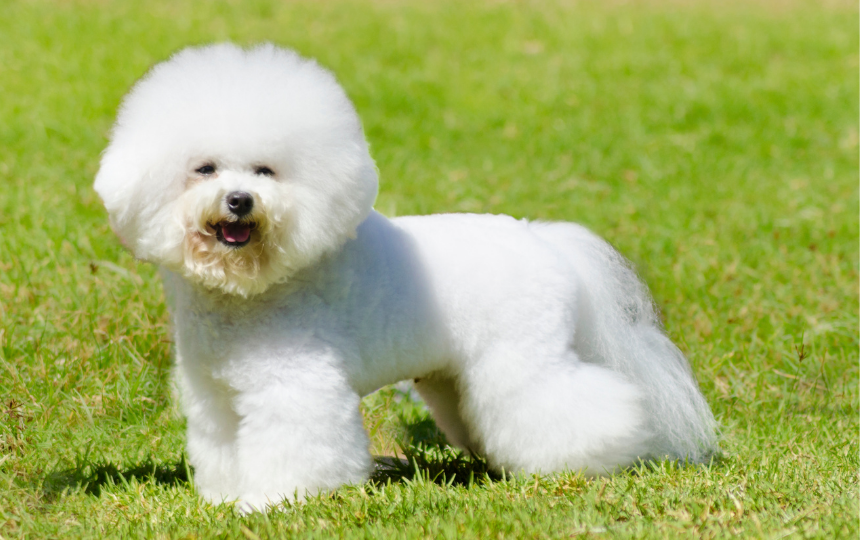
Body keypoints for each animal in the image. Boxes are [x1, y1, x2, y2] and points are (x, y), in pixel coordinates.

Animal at [92, 43, 720, 510]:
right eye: (204, 169)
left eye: (266, 170)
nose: (240, 201)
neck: (250, 289)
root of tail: (545, 242)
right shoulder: (216, 395)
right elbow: (223, 447)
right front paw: (225, 499)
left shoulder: (296, 386)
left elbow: (296, 446)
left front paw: (275, 502)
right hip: (454, 379)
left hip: (523, 360)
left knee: (574, 404)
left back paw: (582, 462)